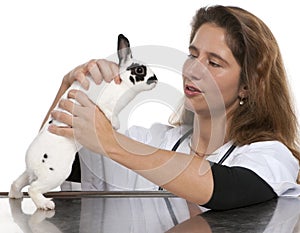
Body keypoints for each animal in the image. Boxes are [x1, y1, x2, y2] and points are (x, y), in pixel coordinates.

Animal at [8, 33, 158, 210]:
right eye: (140, 70)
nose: (155, 79)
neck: (122, 82)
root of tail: (33, 164)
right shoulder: (107, 104)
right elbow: (109, 113)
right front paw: (115, 124)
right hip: (57, 174)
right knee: (33, 189)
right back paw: (46, 204)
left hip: (30, 174)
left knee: (17, 183)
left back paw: (15, 196)